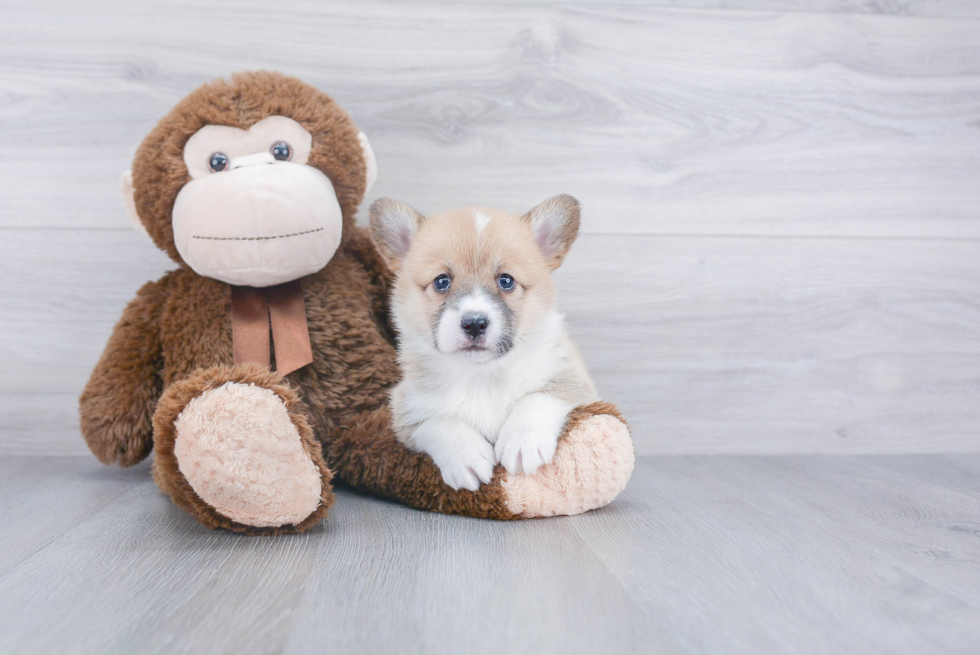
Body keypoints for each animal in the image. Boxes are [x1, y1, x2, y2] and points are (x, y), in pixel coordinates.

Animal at [368, 196, 596, 492]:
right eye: (442, 281)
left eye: (506, 280)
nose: (474, 323)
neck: (482, 376)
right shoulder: (406, 410)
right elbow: (438, 422)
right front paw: (465, 456)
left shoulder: (574, 381)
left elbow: (538, 398)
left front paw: (523, 442)